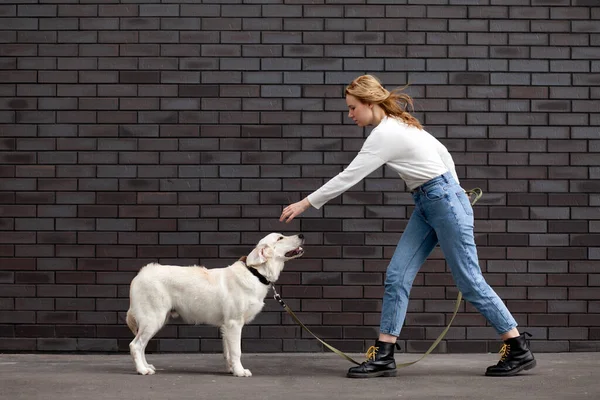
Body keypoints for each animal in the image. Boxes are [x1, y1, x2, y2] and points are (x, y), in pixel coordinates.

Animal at [126, 233, 304, 376]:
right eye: (280, 238)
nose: (302, 235)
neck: (256, 273)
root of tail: (139, 275)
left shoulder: (226, 326)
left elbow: (228, 352)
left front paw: (232, 369)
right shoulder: (234, 323)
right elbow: (237, 351)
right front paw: (240, 372)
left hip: (156, 319)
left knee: (141, 345)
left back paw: (146, 366)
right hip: (153, 318)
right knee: (135, 345)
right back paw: (142, 370)